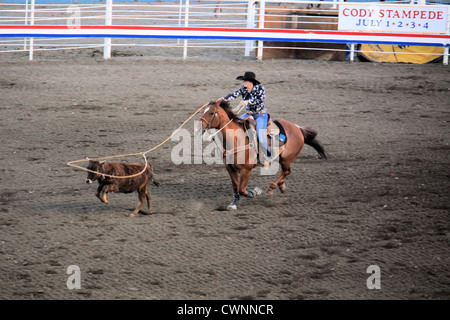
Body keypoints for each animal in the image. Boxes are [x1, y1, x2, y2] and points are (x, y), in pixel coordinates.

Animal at [198, 100, 326, 210]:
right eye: (203, 111)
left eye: (211, 112)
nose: (199, 127)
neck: (236, 139)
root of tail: (298, 129)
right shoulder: (230, 169)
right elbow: (236, 188)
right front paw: (234, 203)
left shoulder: (246, 170)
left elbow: (242, 190)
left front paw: (255, 192)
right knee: (284, 172)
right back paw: (281, 185)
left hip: (286, 158)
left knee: (287, 171)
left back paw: (272, 187)